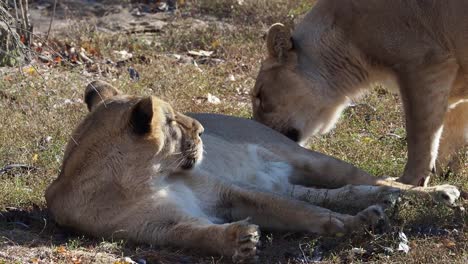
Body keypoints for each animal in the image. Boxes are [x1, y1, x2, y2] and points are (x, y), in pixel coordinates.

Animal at [45, 81, 458, 262]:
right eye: (174, 121)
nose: (201, 129)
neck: (145, 180)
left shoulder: (226, 192)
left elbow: (306, 214)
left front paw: (356, 224)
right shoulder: (155, 227)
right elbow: (194, 234)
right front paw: (239, 240)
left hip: (312, 160)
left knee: (373, 181)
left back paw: (440, 194)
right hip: (288, 181)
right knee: (344, 193)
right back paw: (385, 203)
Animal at [252, 0, 468, 186]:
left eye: (260, 96)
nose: (257, 131)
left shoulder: (424, 64)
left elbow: (420, 134)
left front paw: (407, 182)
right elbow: (451, 130)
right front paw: (445, 173)